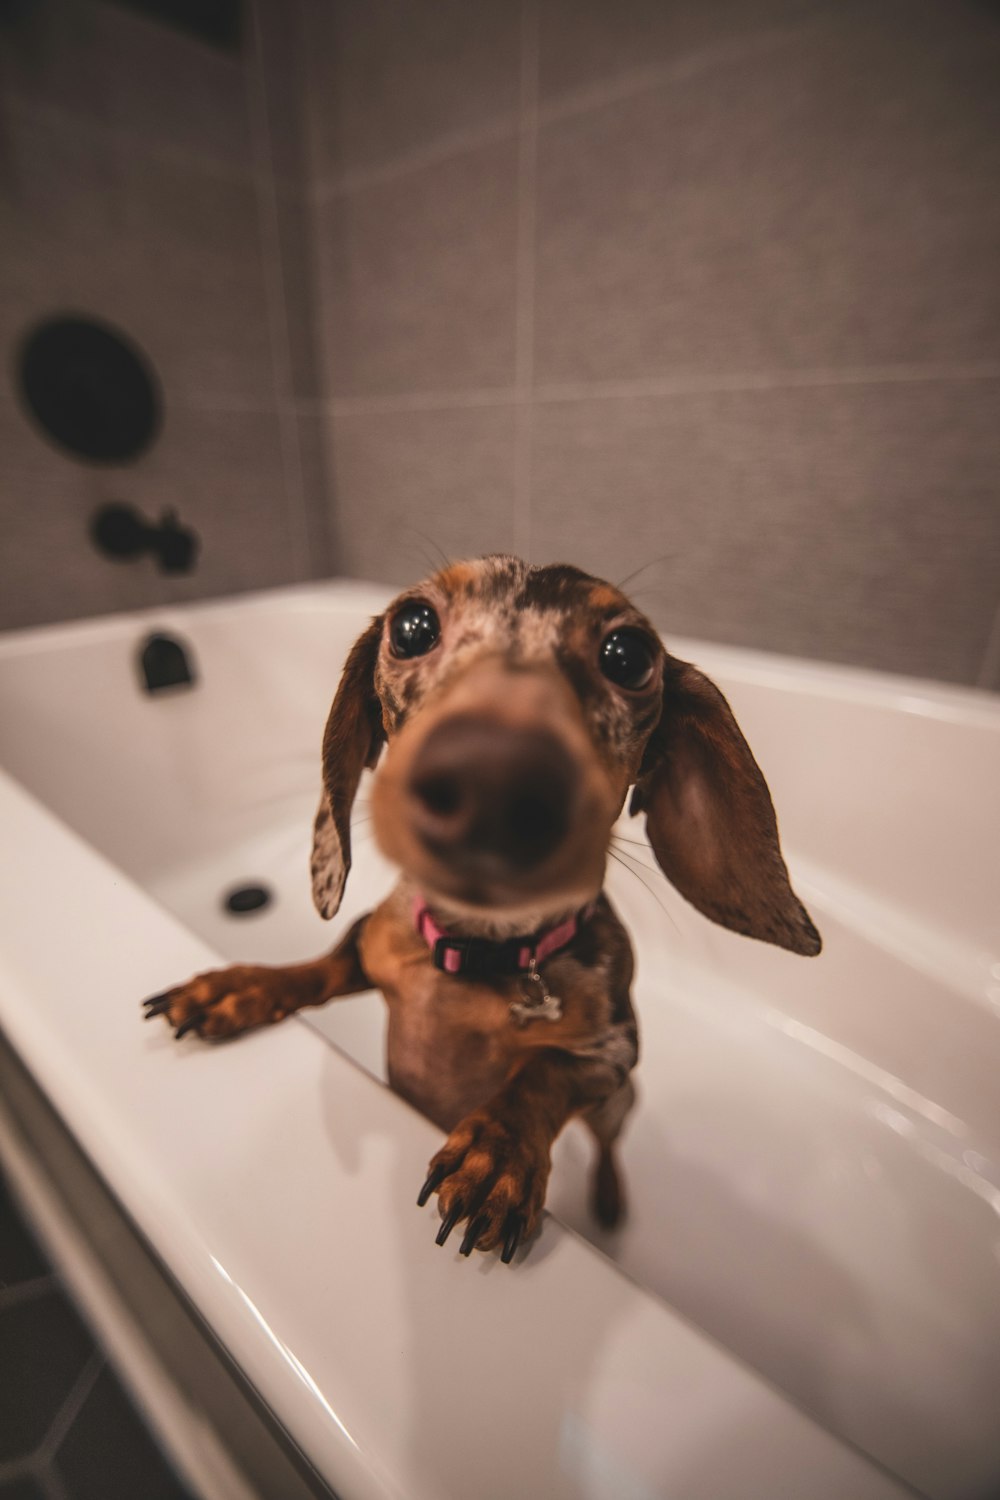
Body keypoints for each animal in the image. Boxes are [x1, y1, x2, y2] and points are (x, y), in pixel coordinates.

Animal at [142, 558, 821, 1260]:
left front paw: (498, 1150)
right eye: (412, 626)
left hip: (618, 1105)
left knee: (608, 1148)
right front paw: (235, 987)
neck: (476, 951)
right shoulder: (368, 947)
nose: (492, 780)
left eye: (629, 656)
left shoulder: (611, 1054)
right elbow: (316, 970)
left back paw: (606, 1199)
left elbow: (543, 1071)